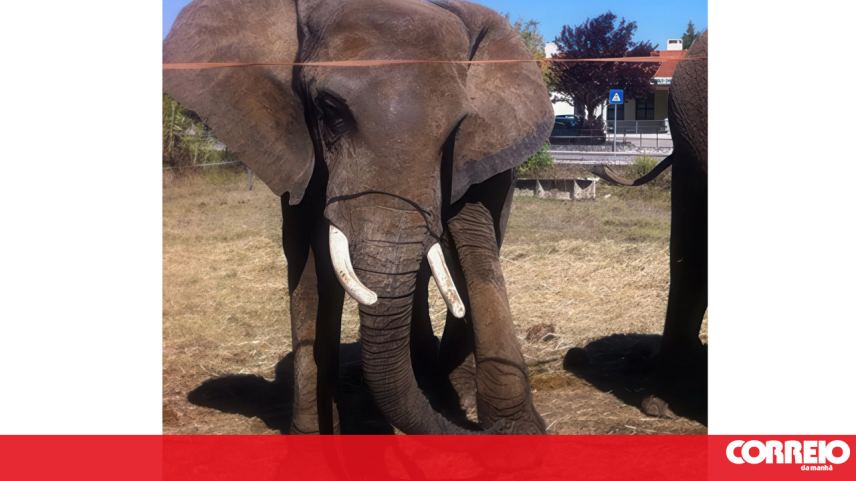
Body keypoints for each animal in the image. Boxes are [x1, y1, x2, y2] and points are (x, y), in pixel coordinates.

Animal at [164, 0, 553, 435]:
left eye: (455, 128)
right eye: (330, 112)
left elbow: (472, 235)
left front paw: (518, 429)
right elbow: (308, 255)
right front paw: (313, 434)